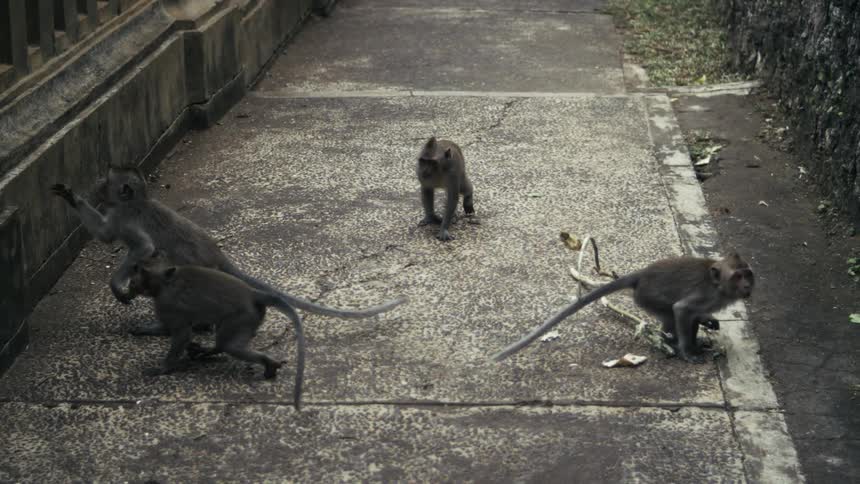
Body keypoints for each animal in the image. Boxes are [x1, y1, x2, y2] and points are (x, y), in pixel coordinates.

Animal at [51, 165, 407, 335]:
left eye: (105, 180)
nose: (96, 185)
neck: (132, 202)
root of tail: (217, 256)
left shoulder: (127, 219)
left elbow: (143, 247)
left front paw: (117, 285)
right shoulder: (116, 217)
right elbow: (106, 236)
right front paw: (69, 196)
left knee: (164, 266)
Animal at [127, 256, 306, 410]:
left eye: (135, 279)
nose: (130, 288)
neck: (165, 281)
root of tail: (252, 293)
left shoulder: (166, 303)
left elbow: (181, 333)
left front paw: (164, 368)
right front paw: (141, 329)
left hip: (242, 317)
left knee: (230, 346)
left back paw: (268, 362)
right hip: (253, 317)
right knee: (225, 343)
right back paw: (206, 351)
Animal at [491, 253, 754, 364]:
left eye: (748, 273)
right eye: (737, 276)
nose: (748, 285)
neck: (719, 287)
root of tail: (641, 275)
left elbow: (695, 315)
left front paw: (707, 323)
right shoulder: (705, 295)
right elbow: (682, 309)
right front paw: (688, 351)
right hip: (649, 297)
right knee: (670, 314)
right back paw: (670, 343)